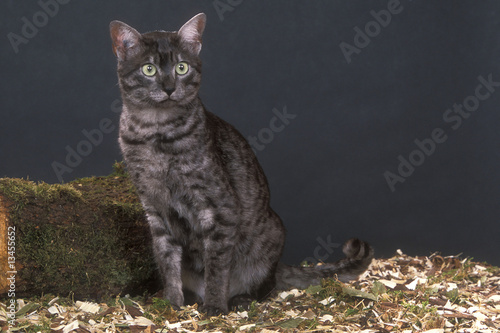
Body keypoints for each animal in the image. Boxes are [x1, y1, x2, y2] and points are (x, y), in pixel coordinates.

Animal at [110, 13, 376, 314]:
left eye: (181, 67)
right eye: (149, 69)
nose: (169, 88)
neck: (155, 133)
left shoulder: (221, 210)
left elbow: (216, 267)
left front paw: (214, 306)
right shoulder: (156, 211)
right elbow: (168, 263)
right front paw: (172, 303)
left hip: (270, 236)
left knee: (265, 286)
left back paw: (239, 300)